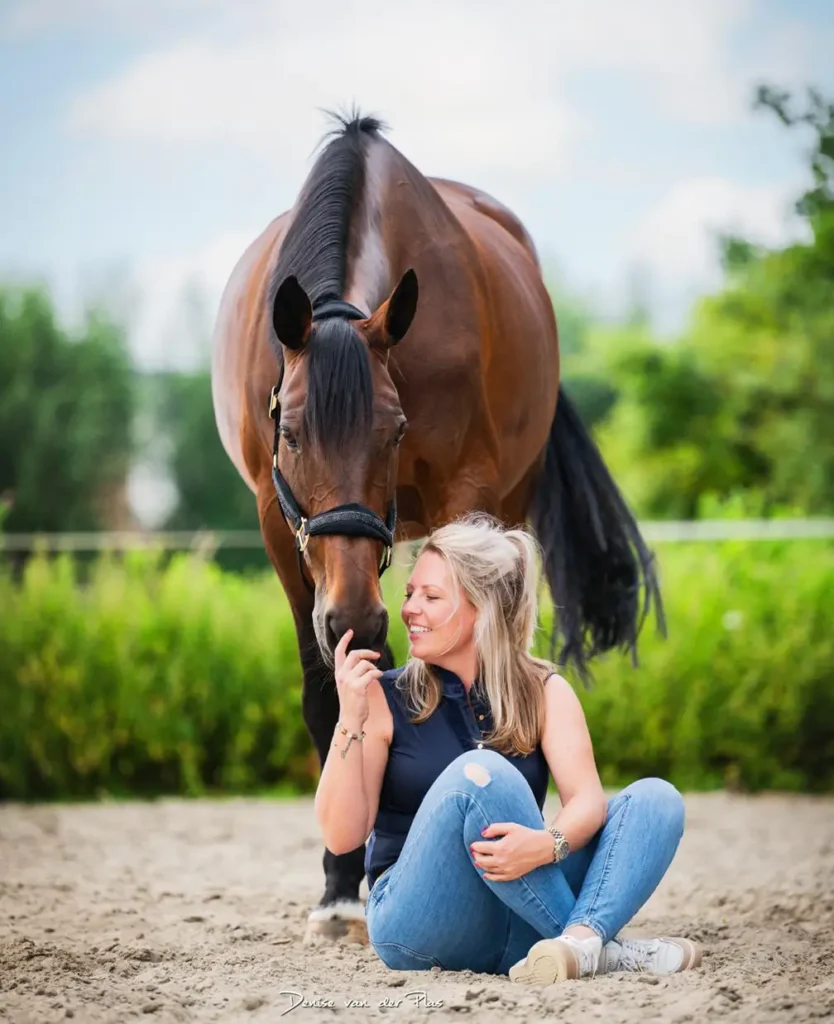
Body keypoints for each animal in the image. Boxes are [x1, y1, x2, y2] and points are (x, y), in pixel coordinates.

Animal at [211, 113, 663, 945]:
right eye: (289, 431)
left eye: (394, 430)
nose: (352, 616)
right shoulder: (277, 524)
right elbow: (328, 692)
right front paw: (340, 888)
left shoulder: (467, 491)